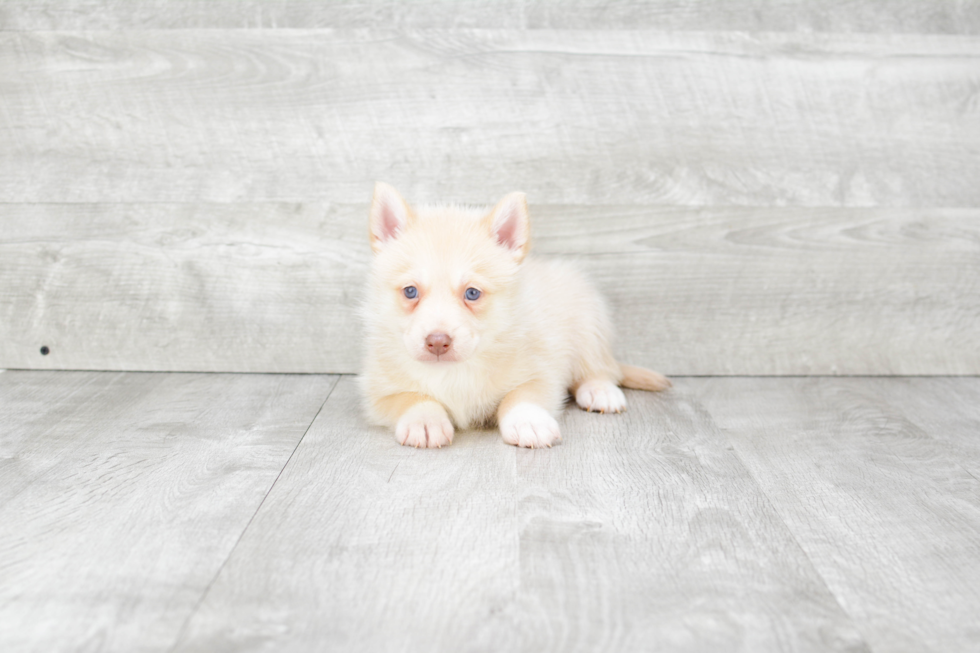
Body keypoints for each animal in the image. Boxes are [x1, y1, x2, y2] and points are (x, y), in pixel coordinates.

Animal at [362, 183, 672, 448]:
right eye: (410, 291)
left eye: (472, 293)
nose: (437, 342)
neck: (455, 371)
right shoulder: (376, 392)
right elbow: (411, 397)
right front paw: (424, 420)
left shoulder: (543, 374)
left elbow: (521, 395)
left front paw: (529, 421)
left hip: (588, 320)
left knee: (599, 368)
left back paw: (600, 390)